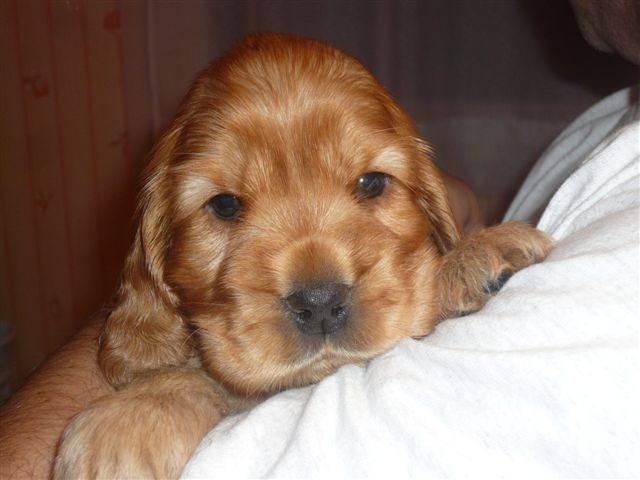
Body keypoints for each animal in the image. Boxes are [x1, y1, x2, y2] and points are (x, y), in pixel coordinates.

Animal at [54, 33, 551, 478]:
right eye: (225, 204)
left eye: (372, 182)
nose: (320, 303)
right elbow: (202, 375)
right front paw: (130, 422)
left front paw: (475, 253)